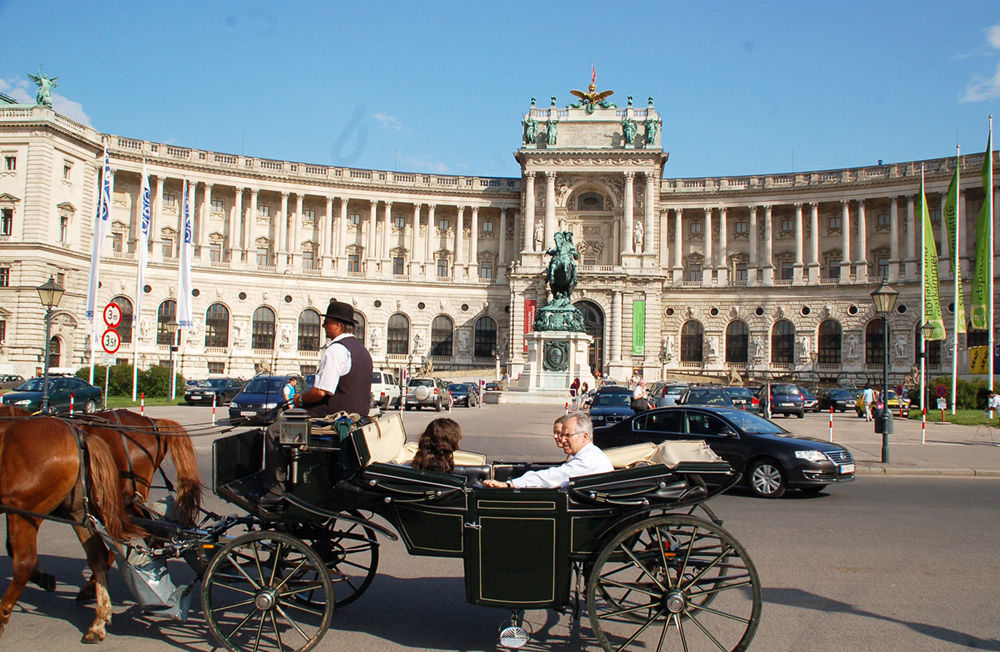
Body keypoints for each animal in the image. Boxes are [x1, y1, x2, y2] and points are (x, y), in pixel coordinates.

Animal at [0, 418, 144, 640]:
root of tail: (77, 433)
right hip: (76, 510)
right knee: (98, 556)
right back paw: (98, 620)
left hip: (25, 509)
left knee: (25, 564)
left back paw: (2, 616)